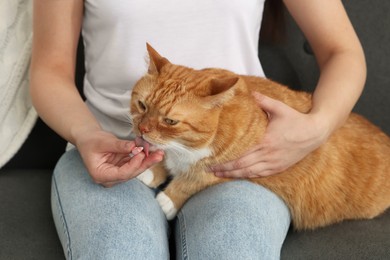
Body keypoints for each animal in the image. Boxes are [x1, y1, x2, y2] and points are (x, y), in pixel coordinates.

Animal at [130, 44, 390, 230]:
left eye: (170, 121)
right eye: (142, 105)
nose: (142, 129)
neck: (184, 148)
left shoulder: (226, 169)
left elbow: (190, 181)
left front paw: (167, 199)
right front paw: (152, 171)